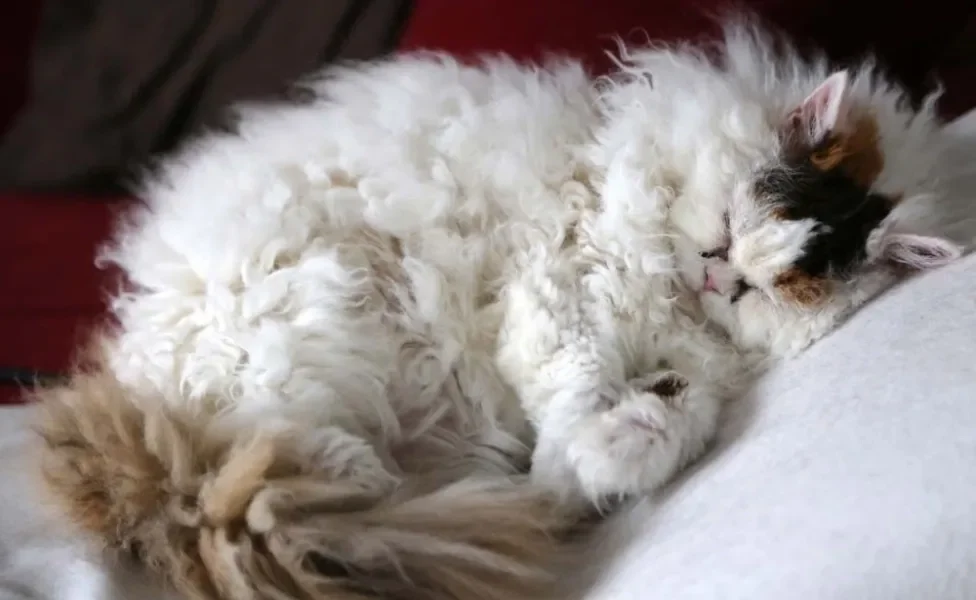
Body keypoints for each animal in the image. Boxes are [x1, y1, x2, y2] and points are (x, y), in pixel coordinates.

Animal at [34, 19, 964, 600]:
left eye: (767, 288)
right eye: (734, 223)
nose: (714, 272)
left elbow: (665, 413)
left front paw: (626, 439)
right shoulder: (557, 292)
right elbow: (577, 384)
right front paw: (602, 442)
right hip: (316, 330)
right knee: (338, 476)